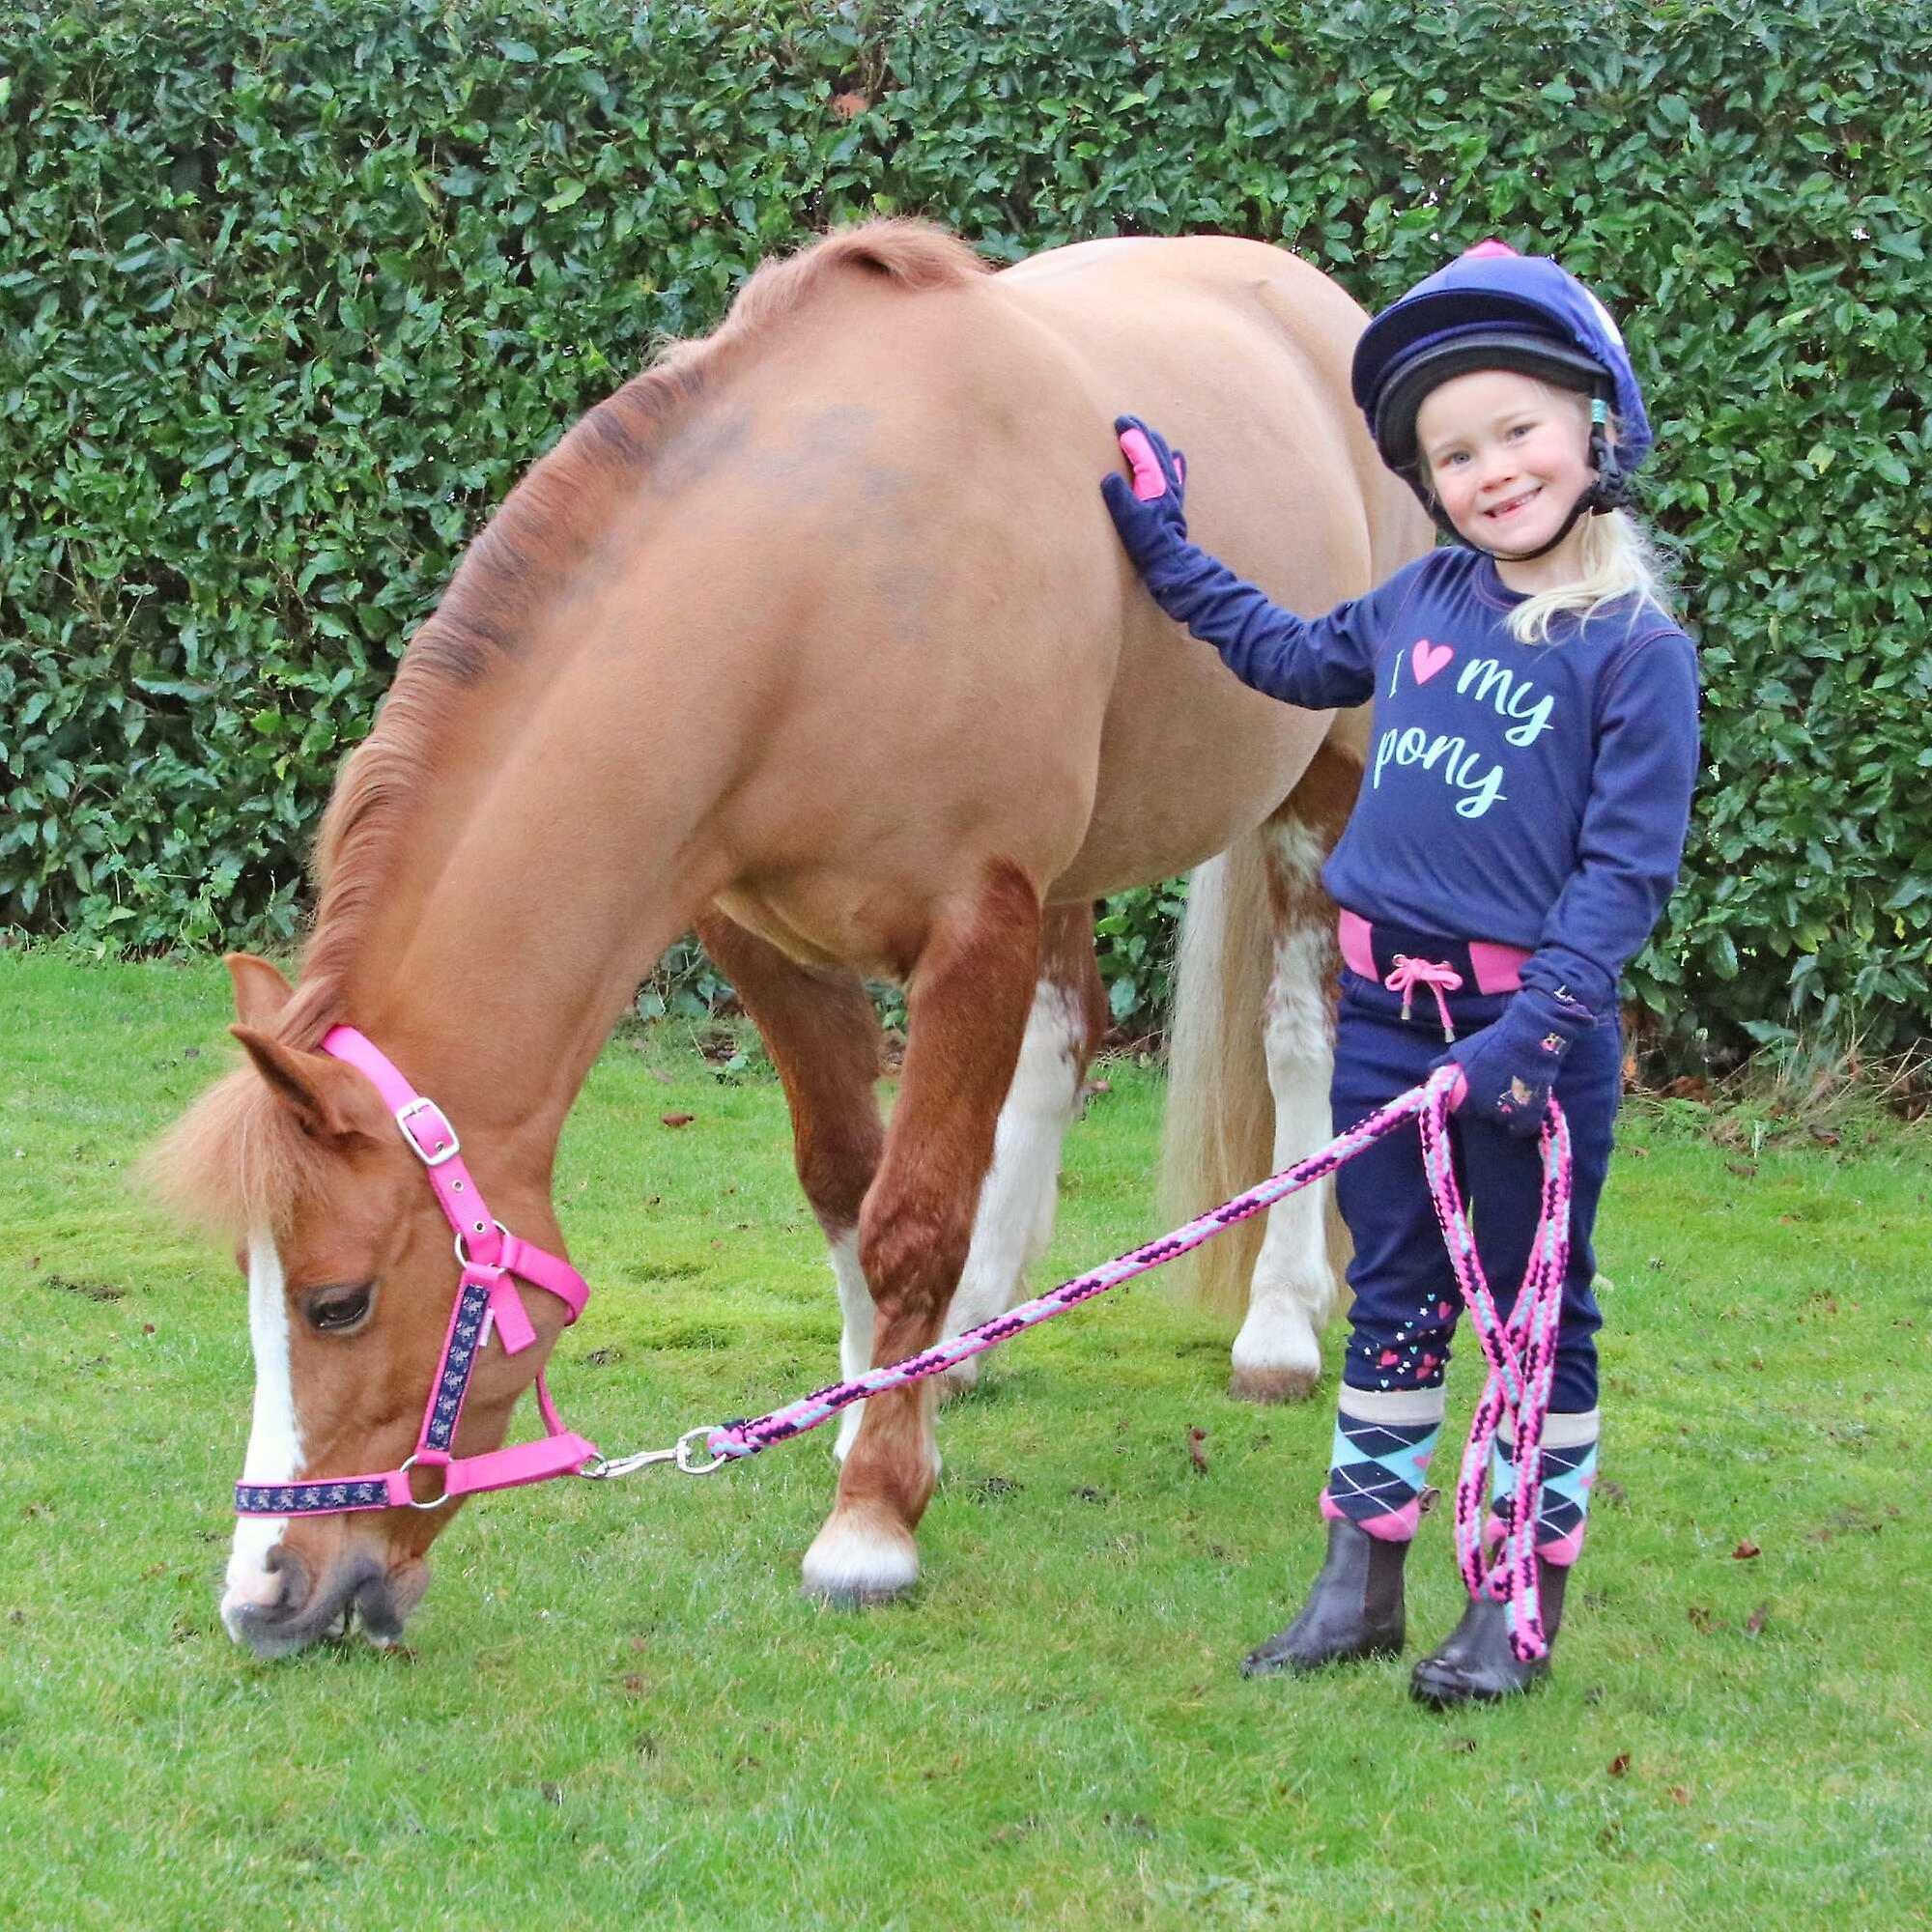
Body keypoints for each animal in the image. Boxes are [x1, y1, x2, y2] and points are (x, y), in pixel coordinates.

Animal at [151, 219, 1430, 1654]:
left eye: (339, 1300)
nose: (263, 1598)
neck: (820, 595)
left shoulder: (971, 926)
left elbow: (911, 1216)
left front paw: (870, 1522)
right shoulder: (764, 938)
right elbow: (842, 1179)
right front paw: (877, 1411)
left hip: (1320, 787)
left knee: (1300, 1042)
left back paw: (1277, 1326)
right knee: (1063, 1046)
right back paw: (978, 1333)